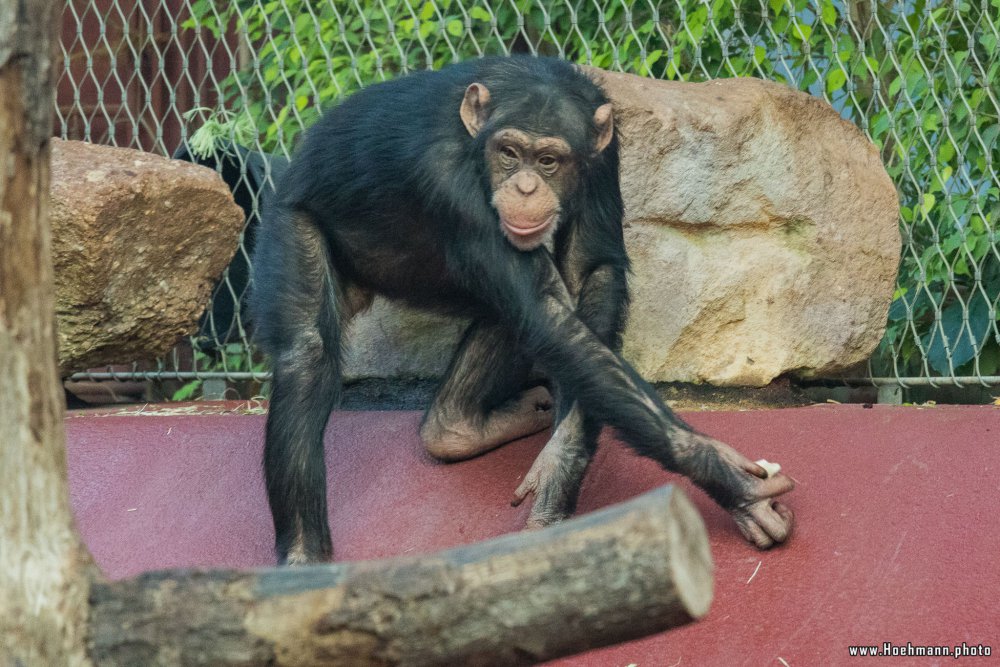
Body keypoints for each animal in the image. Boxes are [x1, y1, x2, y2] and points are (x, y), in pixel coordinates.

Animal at [252, 54, 796, 564]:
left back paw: (457, 428)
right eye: (510, 154)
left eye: (549, 160)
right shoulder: (451, 184)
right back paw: (304, 559)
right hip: (289, 219)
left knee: (513, 308)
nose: (527, 187)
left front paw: (559, 465)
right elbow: (552, 322)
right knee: (307, 354)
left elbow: (587, 275)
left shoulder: (604, 157)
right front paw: (727, 478)